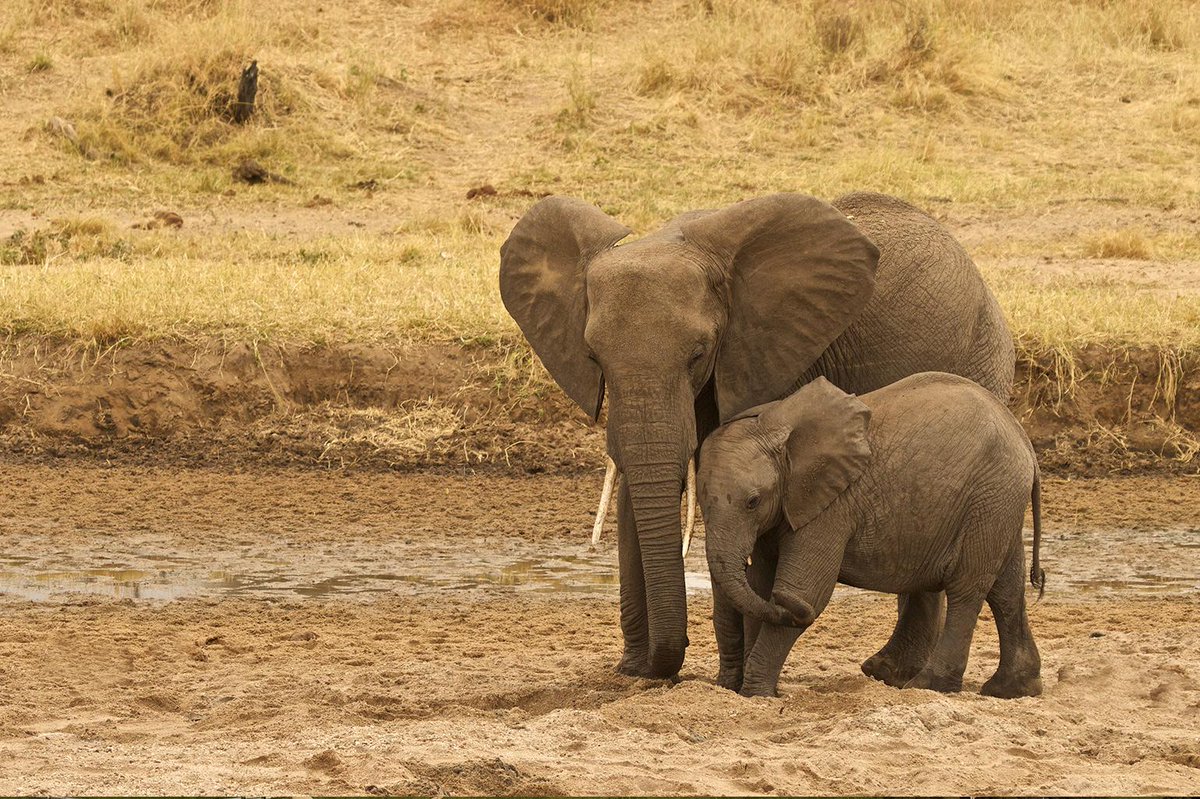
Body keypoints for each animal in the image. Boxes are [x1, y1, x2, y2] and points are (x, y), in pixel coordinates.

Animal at [499, 191, 1015, 679]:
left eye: (699, 352)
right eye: (593, 356)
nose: (656, 665)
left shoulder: (776, 351)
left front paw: (724, 677)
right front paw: (635, 673)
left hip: (980, 357)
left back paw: (890, 672)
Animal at [698, 373, 1045, 699]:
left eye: (753, 502)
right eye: (701, 503)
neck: (774, 424)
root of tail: (1025, 441)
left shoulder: (832, 506)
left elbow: (807, 591)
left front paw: (756, 693)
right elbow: (759, 587)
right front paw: (750, 689)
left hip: (990, 496)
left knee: (967, 587)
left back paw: (928, 686)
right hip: (998, 502)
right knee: (1006, 587)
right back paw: (1011, 689)